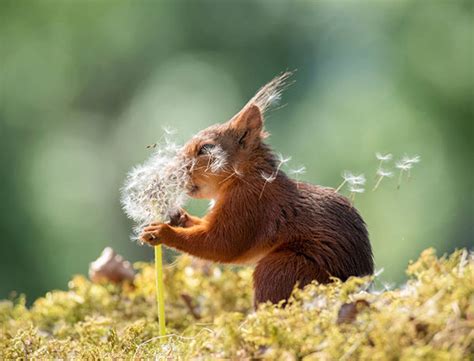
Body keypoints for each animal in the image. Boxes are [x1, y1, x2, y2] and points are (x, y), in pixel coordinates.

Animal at [141, 73, 374, 306]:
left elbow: (222, 243)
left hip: (281, 268)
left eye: (206, 148)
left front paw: (163, 232)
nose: (171, 172)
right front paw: (178, 217)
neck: (244, 177)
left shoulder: (250, 204)